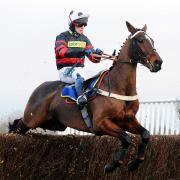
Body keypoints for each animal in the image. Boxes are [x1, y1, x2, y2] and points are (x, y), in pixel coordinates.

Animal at [8, 21, 163, 172]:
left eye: (153, 40)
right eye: (140, 40)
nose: (158, 62)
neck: (119, 87)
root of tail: (38, 89)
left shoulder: (127, 120)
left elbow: (145, 134)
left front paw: (135, 163)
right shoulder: (100, 123)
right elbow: (126, 138)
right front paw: (112, 165)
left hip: (54, 123)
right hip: (32, 119)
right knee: (17, 126)